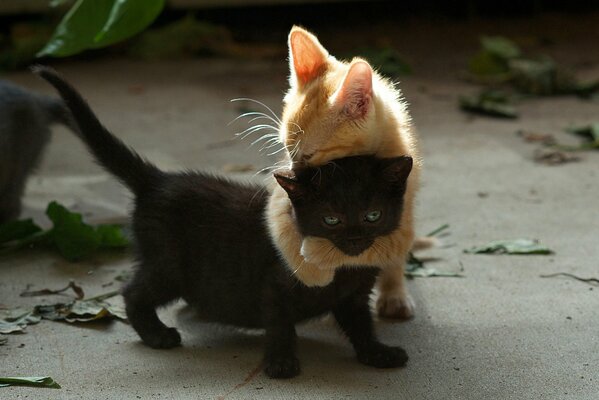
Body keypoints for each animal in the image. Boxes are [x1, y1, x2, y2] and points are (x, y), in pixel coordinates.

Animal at [35, 67, 414, 380]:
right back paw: (157, 335)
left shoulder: (355, 296)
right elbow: (280, 325)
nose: (355, 239)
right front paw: (280, 363)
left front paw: (377, 354)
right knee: (133, 292)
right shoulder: (274, 286)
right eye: (330, 220)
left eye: (372, 216)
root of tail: (158, 180)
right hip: (169, 264)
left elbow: (361, 326)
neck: (340, 264)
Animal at [268, 25, 422, 318]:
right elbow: (281, 225)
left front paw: (317, 255)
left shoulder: (401, 211)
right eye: (287, 150)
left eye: (309, 156)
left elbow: (381, 248)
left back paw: (394, 295)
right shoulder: (282, 198)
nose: (295, 173)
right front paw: (309, 268)